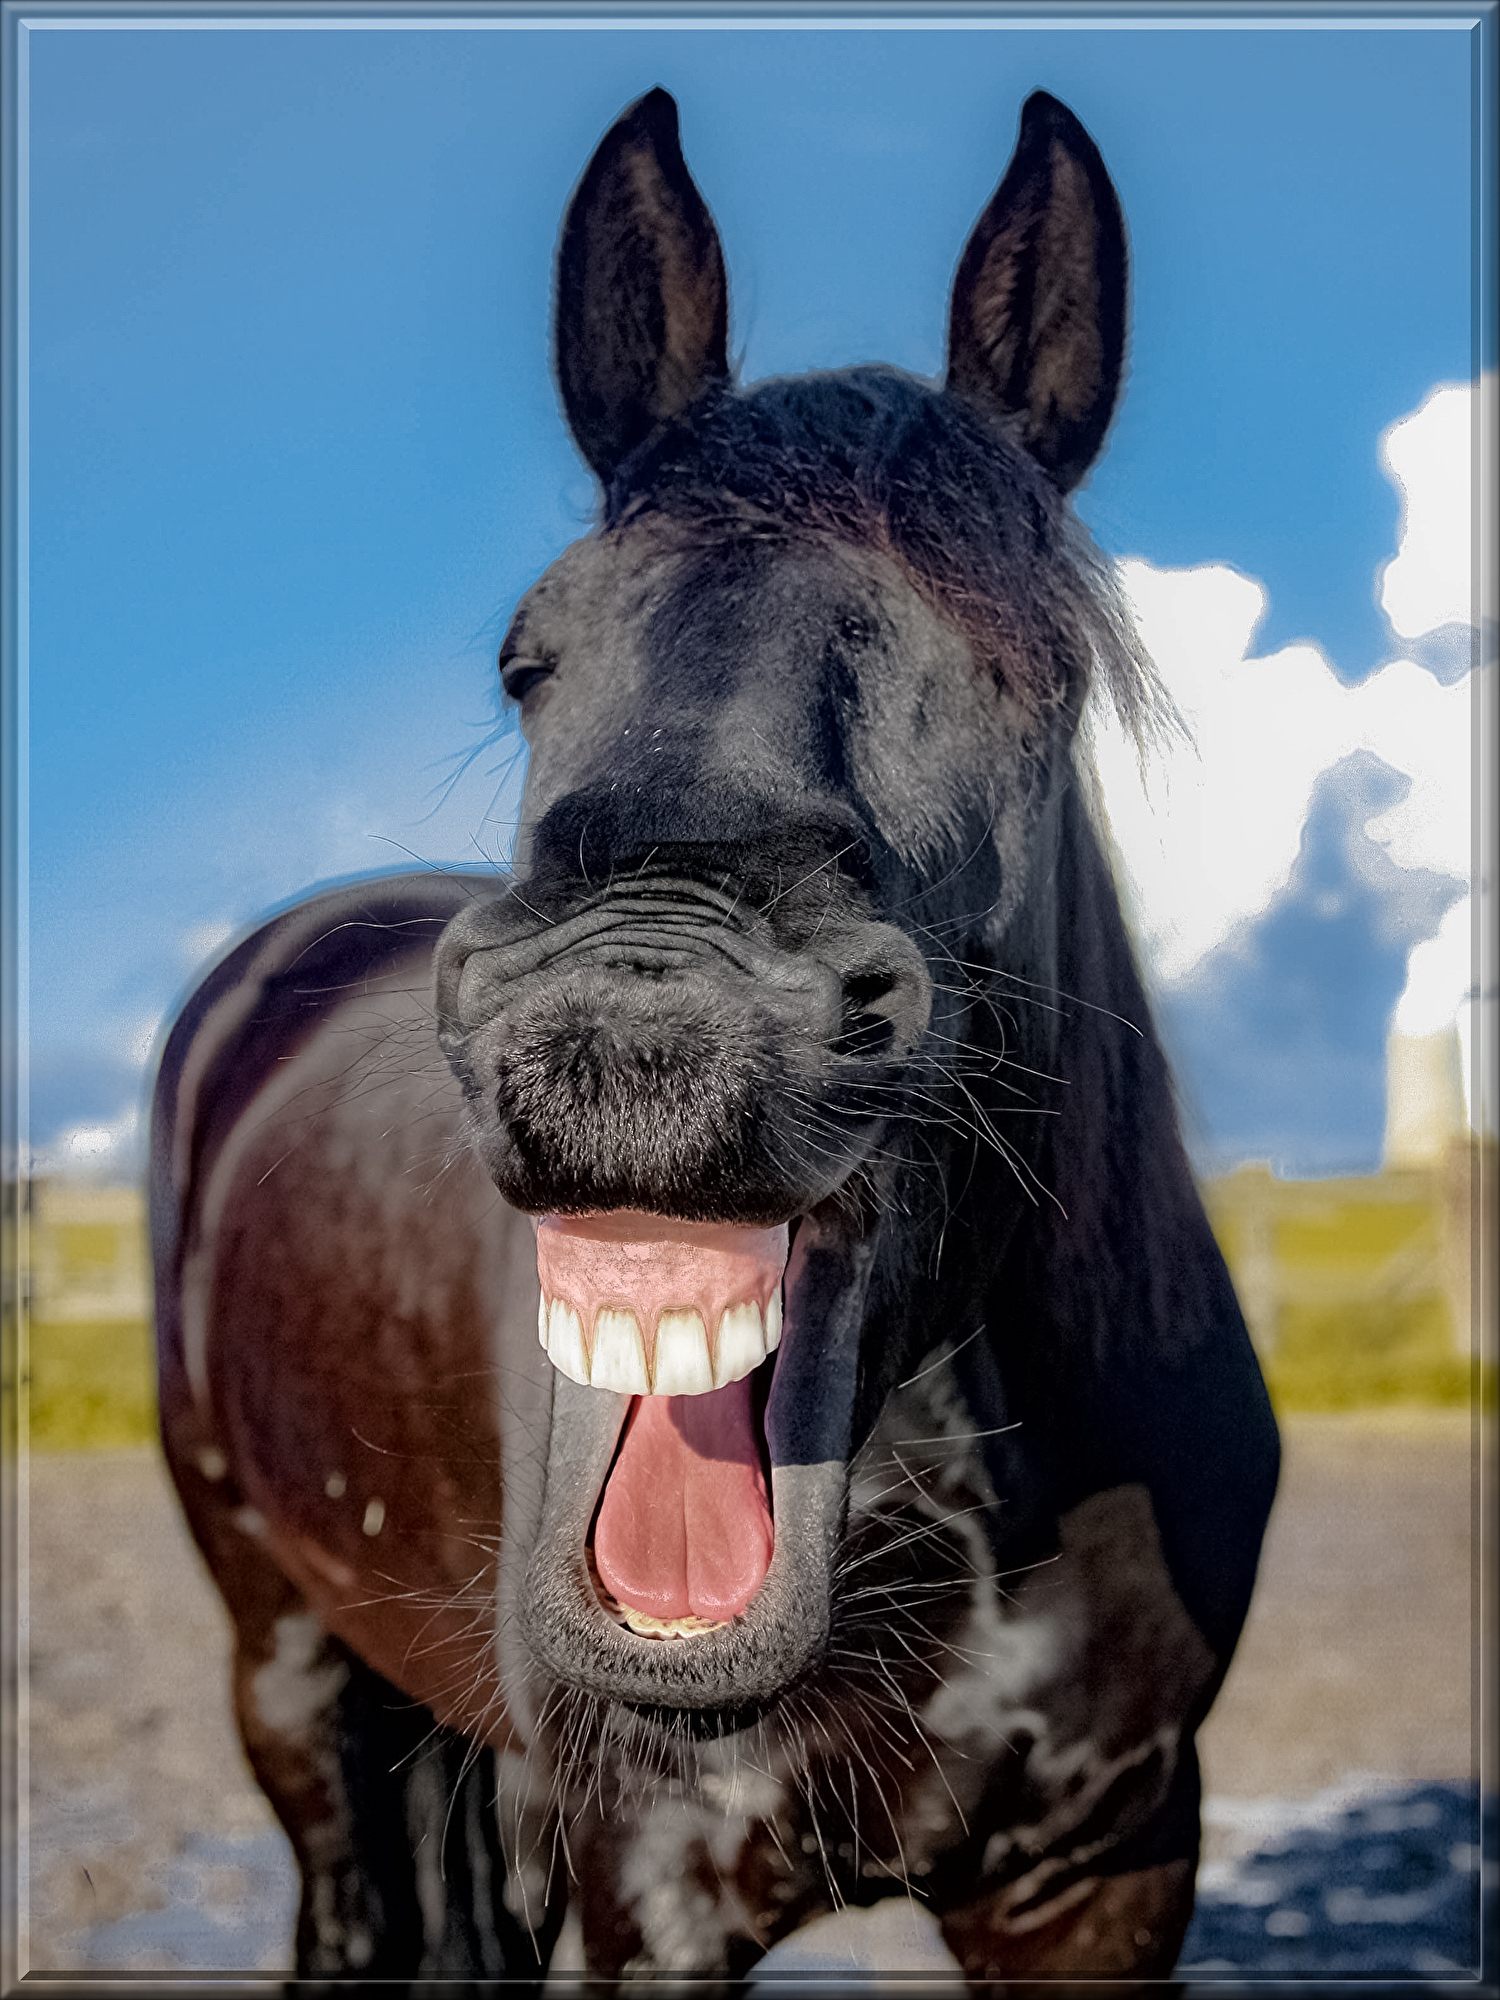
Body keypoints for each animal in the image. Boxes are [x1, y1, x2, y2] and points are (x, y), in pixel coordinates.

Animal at [151, 87, 1279, 1985]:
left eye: (1032, 672)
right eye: (528, 656)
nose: (628, 1024)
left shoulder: (1107, 1874)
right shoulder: (645, 1887)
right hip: (288, 1672)